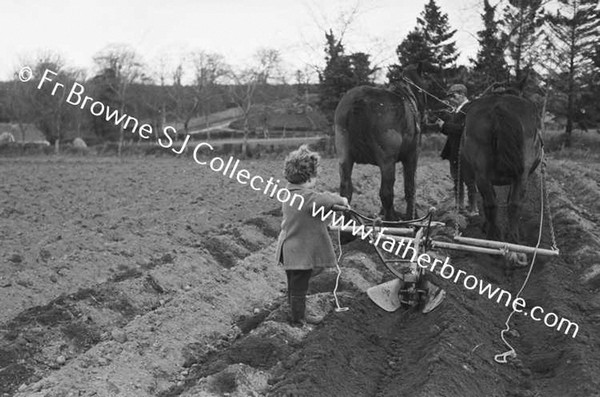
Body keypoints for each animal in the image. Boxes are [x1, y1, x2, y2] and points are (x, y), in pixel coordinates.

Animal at [332, 63, 426, 221]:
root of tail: (359, 101)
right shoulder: (412, 155)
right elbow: (410, 187)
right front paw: (411, 216)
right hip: (387, 161)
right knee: (386, 192)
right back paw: (392, 219)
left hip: (345, 157)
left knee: (346, 190)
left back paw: (348, 221)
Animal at [460, 93, 544, 241]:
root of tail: (500, 107)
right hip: (520, 175)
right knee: (511, 203)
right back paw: (507, 237)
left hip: (483, 174)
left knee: (495, 203)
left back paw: (498, 236)